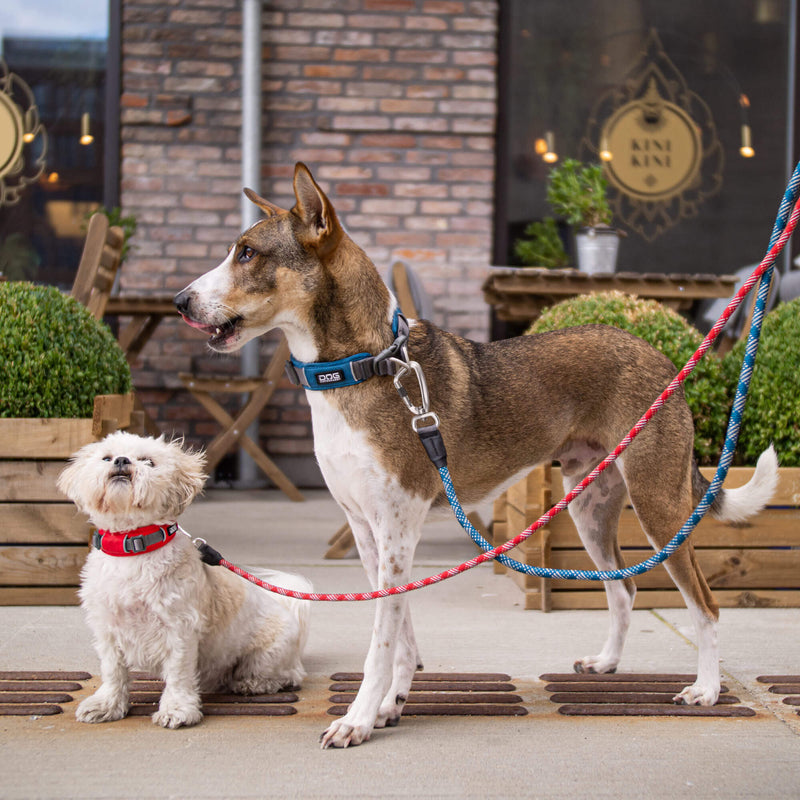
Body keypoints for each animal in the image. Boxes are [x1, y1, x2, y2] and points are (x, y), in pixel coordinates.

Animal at [56, 432, 310, 732]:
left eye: (148, 461)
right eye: (107, 457)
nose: (121, 460)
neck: (133, 548)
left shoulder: (179, 628)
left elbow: (177, 673)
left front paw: (177, 709)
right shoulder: (107, 628)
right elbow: (113, 671)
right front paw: (107, 704)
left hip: (267, 653)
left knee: (287, 674)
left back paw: (253, 683)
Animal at [173, 164, 776, 752]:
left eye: (248, 253)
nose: (180, 302)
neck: (366, 367)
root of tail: (660, 357)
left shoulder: (397, 529)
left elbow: (381, 640)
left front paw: (359, 719)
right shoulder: (369, 534)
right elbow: (401, 633)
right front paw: (391, 704)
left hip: (659, 506)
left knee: (704, 605)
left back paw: (706, 689)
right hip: (590, 507)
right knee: (623, 588)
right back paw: (607, 663)